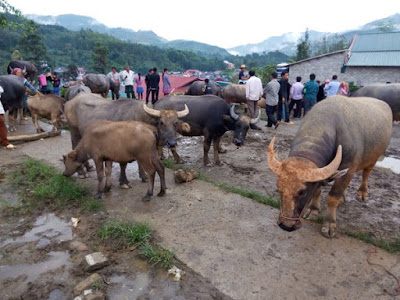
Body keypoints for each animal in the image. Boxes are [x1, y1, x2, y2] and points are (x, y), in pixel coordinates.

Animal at [268, 95, 392, 237]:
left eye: (302, 191)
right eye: (279, 189)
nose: (286, 225)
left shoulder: (349, 169)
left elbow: (332, 197)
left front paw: (329, 224)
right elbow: (317, 191)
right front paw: (313, 211)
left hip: (374, 158)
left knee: (366, 173)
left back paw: (362, 193)